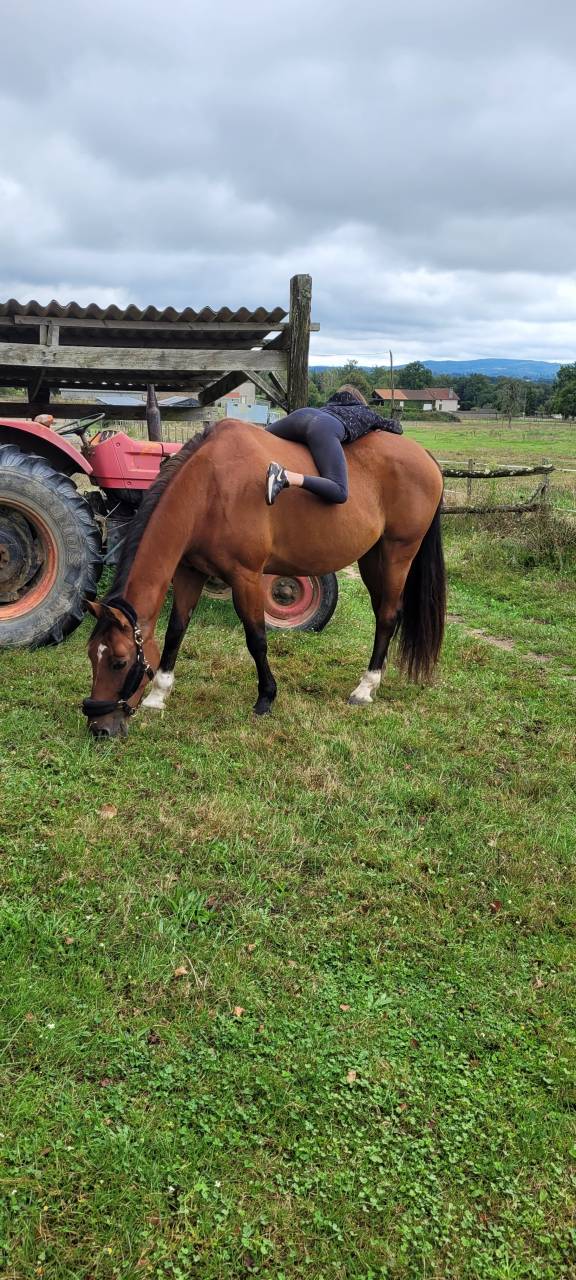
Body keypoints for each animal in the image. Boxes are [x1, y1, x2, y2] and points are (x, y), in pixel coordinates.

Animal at [83, 418, 446, 738]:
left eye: (119, 662)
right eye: (91, 656)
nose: (99, 729)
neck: (209, 488)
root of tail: (425, 456)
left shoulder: (246, 576)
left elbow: (256, 638)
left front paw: (266, 697)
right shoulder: (189, 573)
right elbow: (176, 631)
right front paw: (159, 694)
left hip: (398, 553)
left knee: (387, 616)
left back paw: (365, 687)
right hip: (372, 557)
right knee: (386, 614)